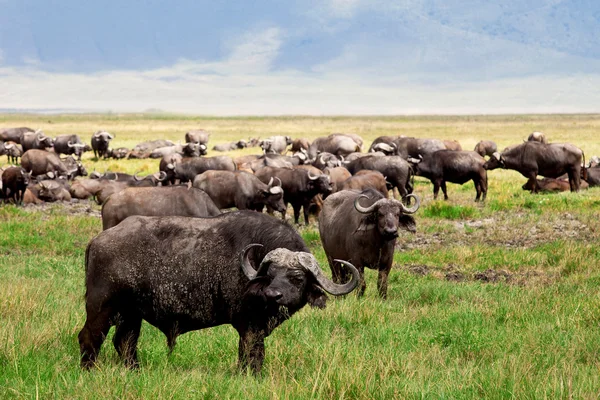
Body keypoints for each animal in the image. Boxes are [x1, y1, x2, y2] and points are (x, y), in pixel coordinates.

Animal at [79, 212, 360, 372]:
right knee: (89, 338)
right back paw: (88, 370)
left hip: (131, 314)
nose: (273, 295)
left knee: (124, 342)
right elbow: (252, 354)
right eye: (269, 274)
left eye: (297, 277)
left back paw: (136, 371)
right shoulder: (249, 326)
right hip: (102, 307)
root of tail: (97, 241)